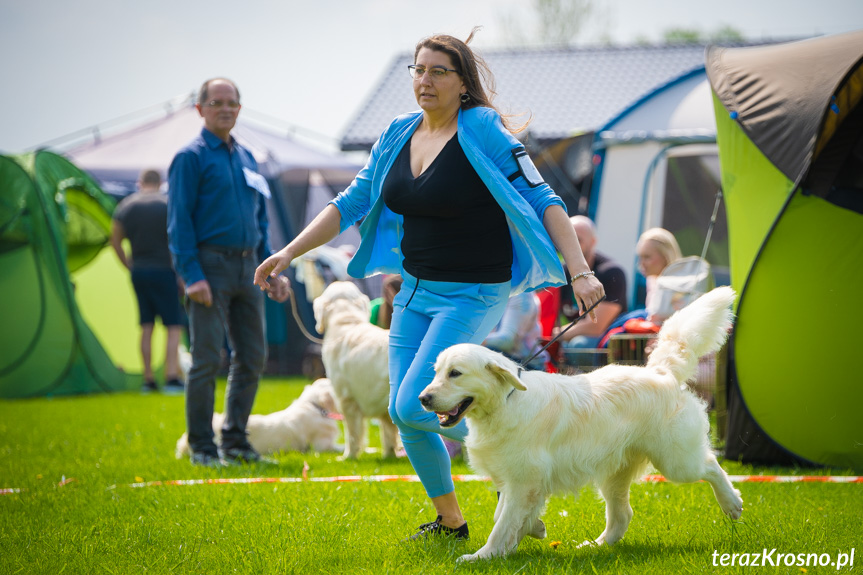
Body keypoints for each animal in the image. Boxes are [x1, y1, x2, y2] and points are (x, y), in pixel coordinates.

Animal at [420, 286, 744, 564]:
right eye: (437, 372)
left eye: (456, 373)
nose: (423, 398)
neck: (505, 402)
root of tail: (661, 372)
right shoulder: (514, 480)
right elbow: (503, 516)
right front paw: (530, 530)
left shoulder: (523, 481)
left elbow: (501, 524)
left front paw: (482, 556)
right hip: (614, 474)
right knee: (622, 515)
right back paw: (594, 546)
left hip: (676, 462)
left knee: (711, 465)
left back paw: (732, 503)